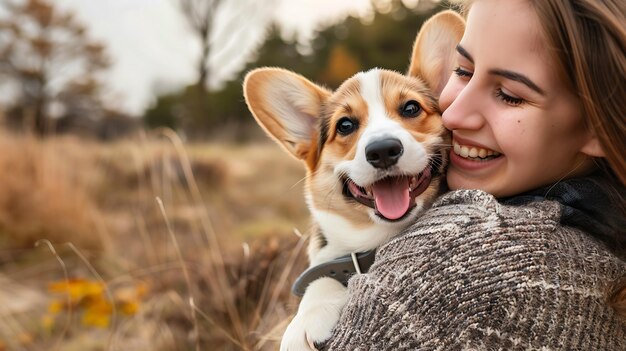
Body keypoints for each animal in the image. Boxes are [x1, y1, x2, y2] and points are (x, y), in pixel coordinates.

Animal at [244, 11, 464, 351]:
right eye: (345, 125)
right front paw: (306, 318)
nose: (382, 150)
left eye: (411, 108)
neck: (375, 237)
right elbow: (321, 278)